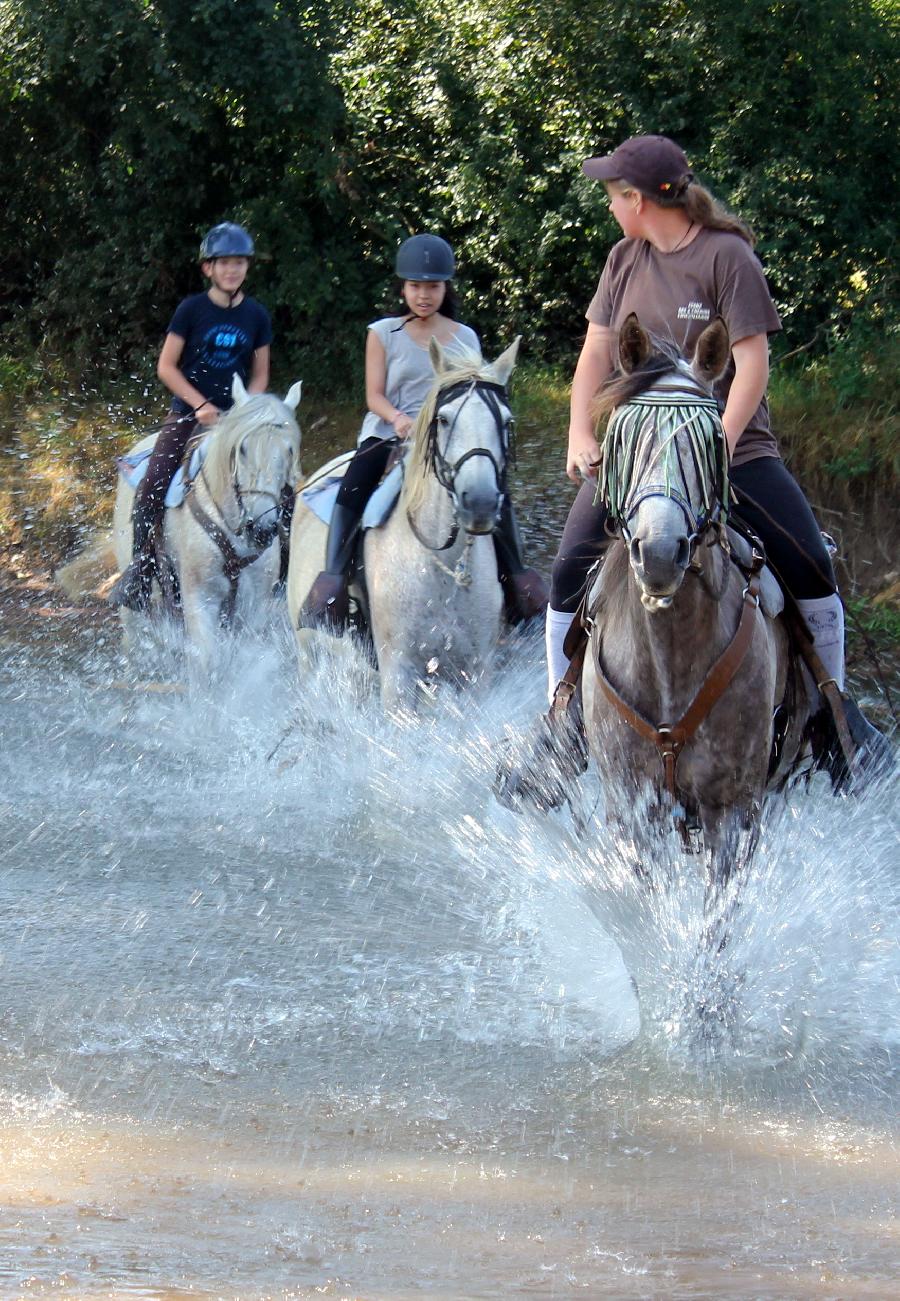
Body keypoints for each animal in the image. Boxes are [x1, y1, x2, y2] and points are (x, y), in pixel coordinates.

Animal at [284, 335, 517, 712]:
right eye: (444, 420)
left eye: (507, 422)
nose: (479, 503)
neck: (440, 570)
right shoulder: (398, 675)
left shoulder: (477, 673)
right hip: (308, 650)